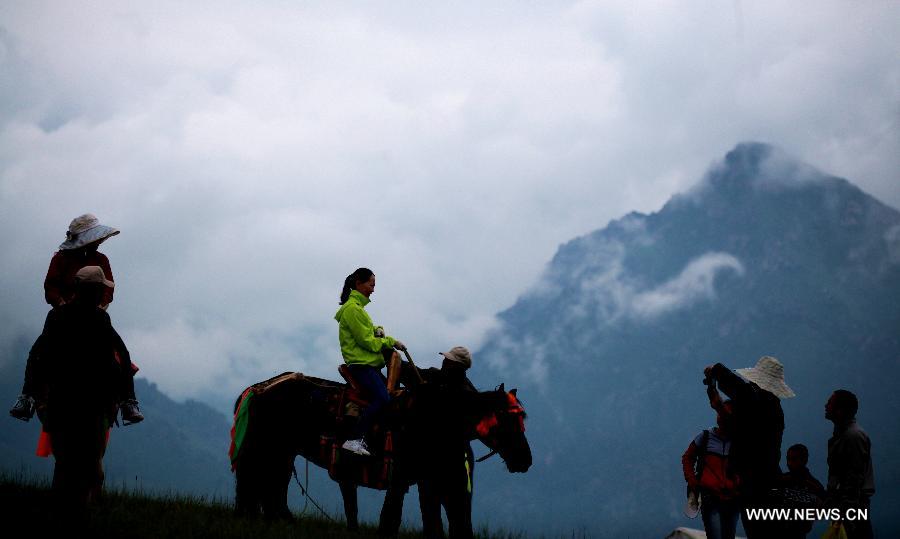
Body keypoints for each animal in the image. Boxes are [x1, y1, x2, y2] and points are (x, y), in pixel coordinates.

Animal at [230, 370, 536, 532]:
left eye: (522, 419)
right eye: (506, 419)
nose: (525, 460)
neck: (435, 417)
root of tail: (257, 388)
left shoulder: (419, 482)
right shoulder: (402, 479)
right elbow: (390, 518)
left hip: (282, 452)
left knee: (271, 488)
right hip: (270, 450)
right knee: (260, 486)